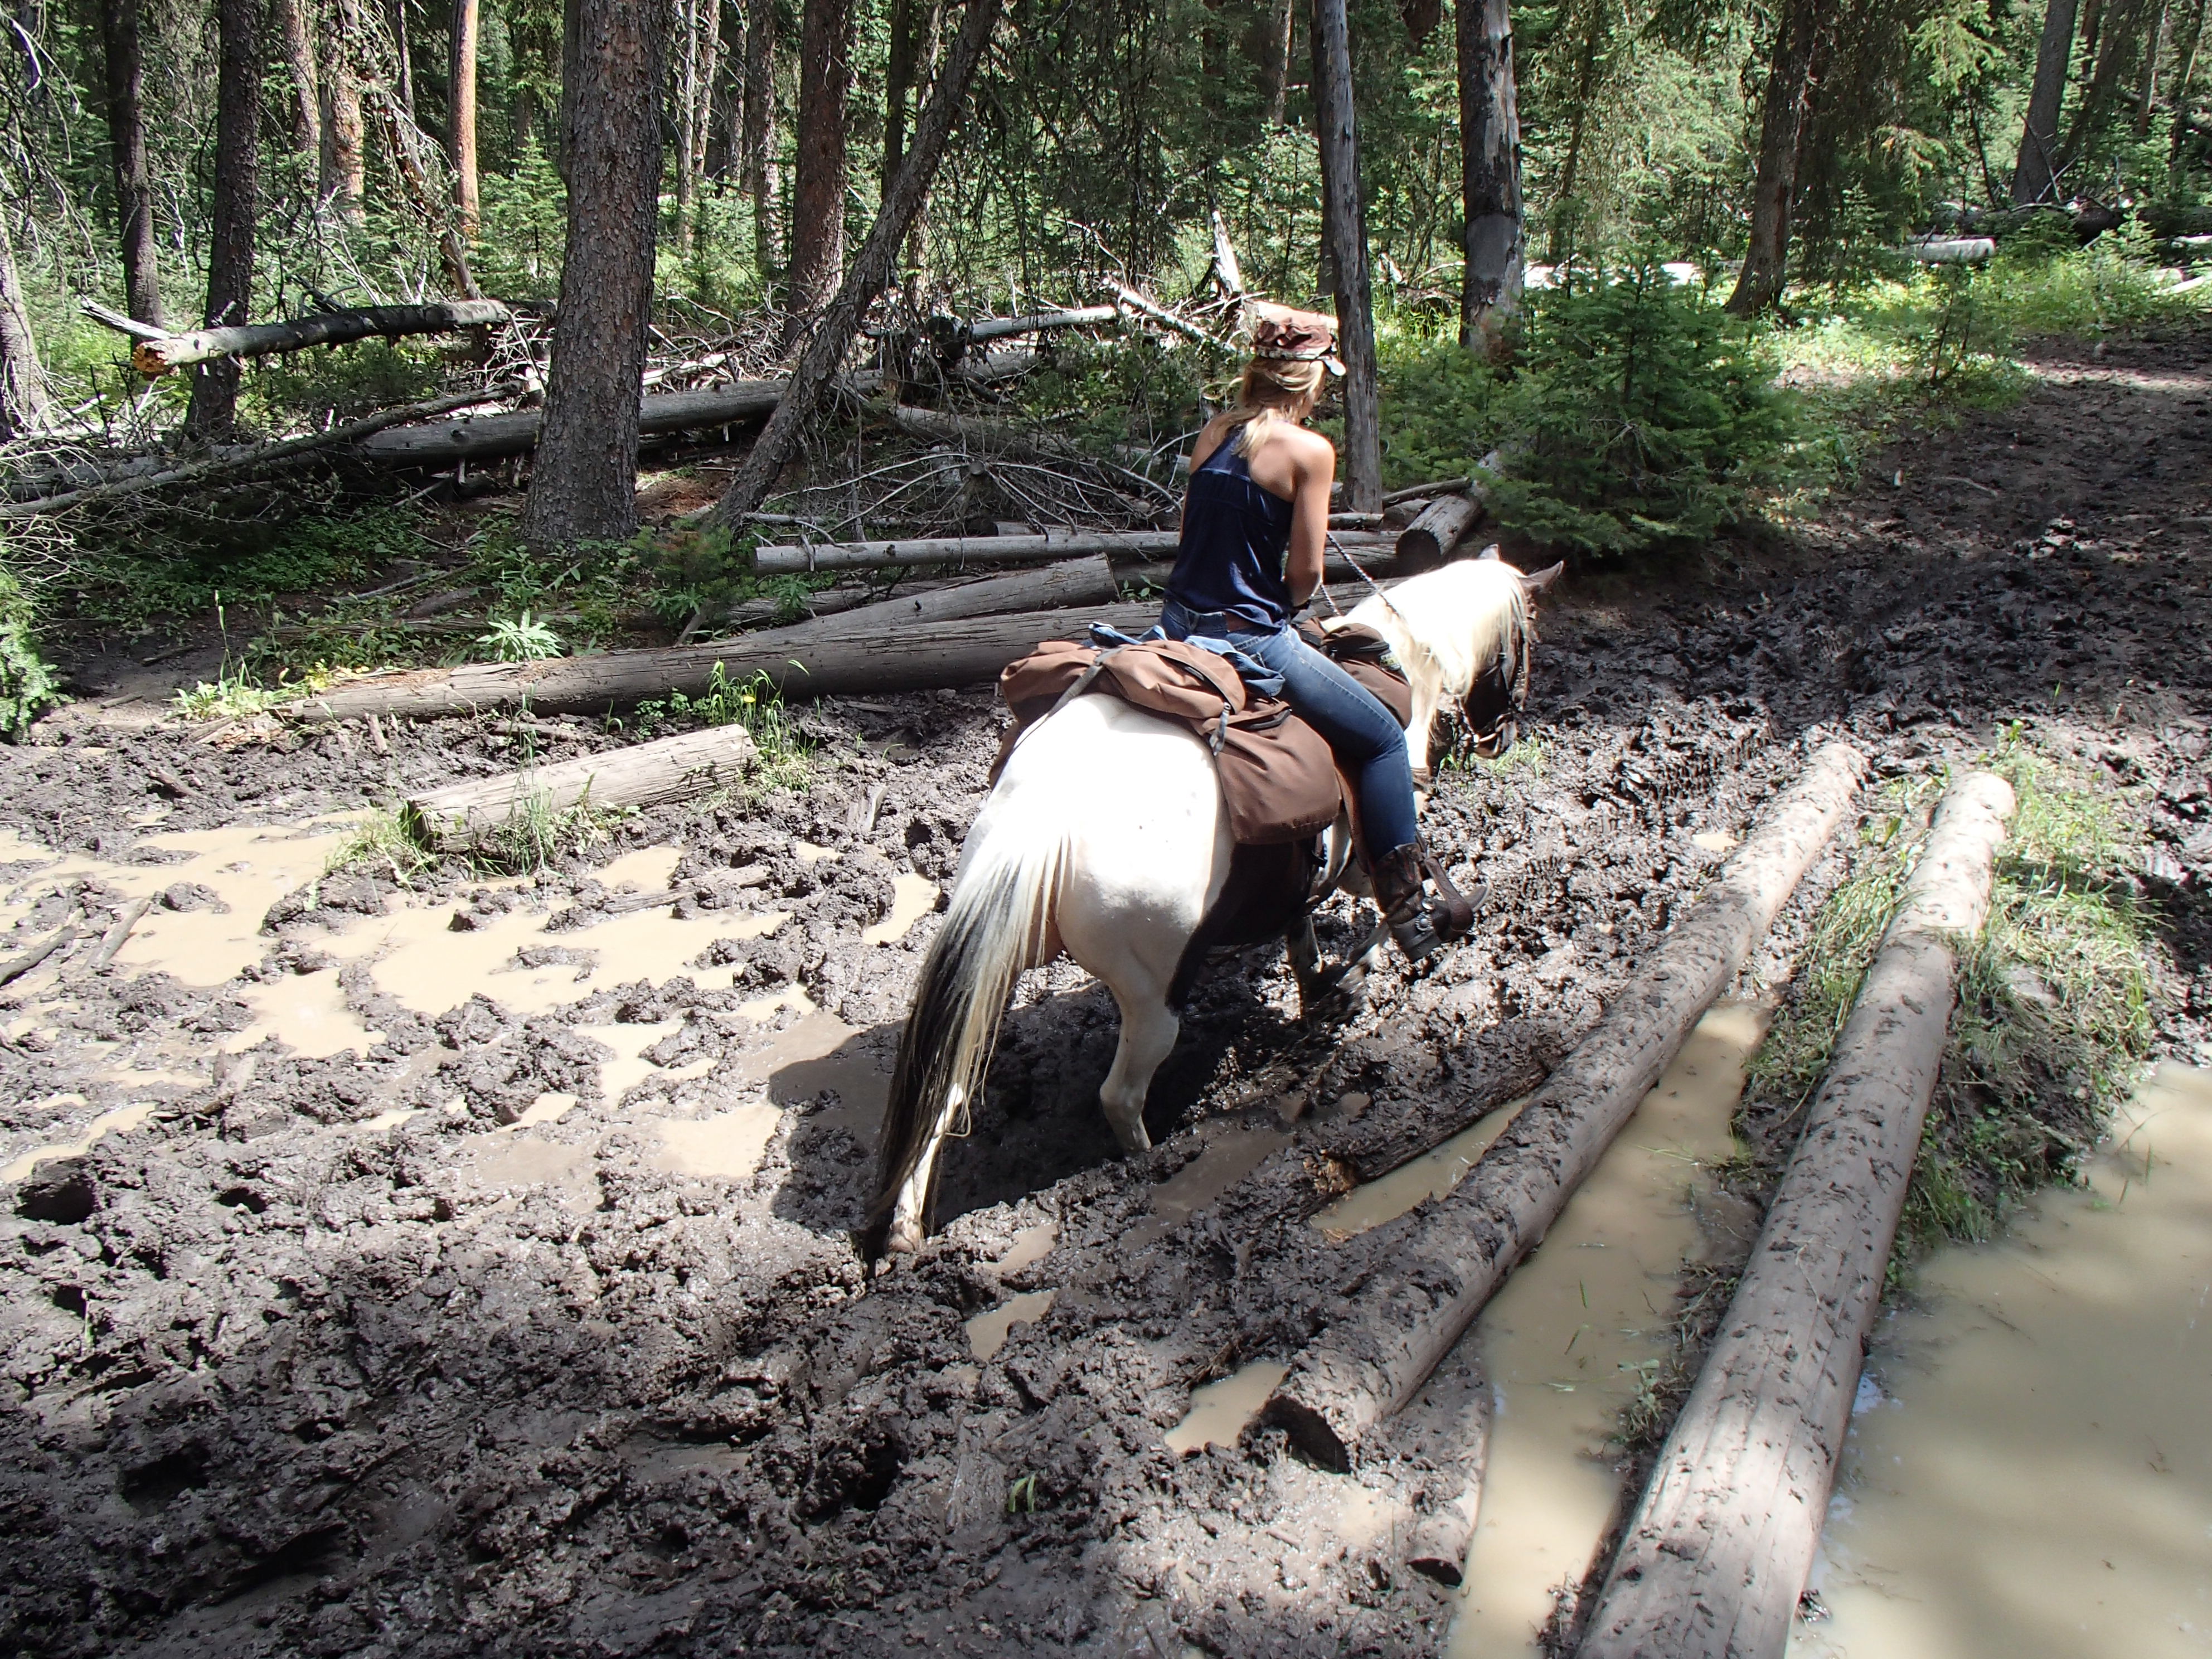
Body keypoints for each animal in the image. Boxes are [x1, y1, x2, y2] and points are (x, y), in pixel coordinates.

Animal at [865, 553, 1560, 1259]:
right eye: (1528, 635)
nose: (1503, 737)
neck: (1404, 668)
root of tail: (1044, 819)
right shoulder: (1370, 854)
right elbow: (1392, 909)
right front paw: (1359, 976)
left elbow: (1300, 925)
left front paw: (1317, 981)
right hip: (1153, 997)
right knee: (1120, 1097)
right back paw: (1146, 1169)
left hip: (996, 962)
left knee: (945, 1085)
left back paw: (904, 1230)